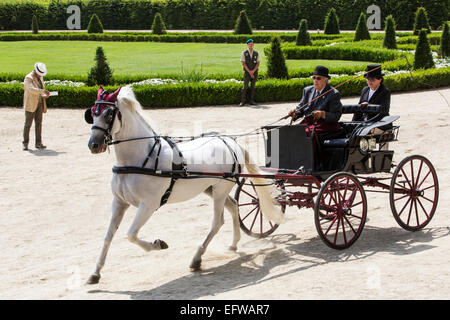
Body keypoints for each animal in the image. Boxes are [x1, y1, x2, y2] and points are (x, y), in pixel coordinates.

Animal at [84, 86, 284, 284]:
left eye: (109, 114)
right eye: (92, 114)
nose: (93, 145)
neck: (140, 159)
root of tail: (230, 142)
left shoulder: (149, 204)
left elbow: (131, 234)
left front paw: (158, 244)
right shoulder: (119, 202)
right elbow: (108, 237)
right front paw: (95, 272)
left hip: (219, 190)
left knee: (217, 222)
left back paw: (197, 258)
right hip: (211, 189)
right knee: (234, 206)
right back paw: (233, 244)